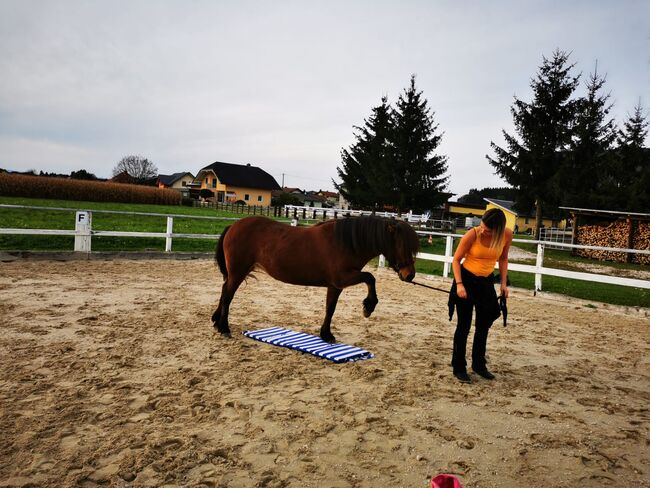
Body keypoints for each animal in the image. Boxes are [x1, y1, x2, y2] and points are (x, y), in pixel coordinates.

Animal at [210, 214, 418, 344]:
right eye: (402, 245)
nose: (410, 275)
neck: (346, 243)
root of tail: (234, 226)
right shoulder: (343, 278)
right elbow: (371, 278)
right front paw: (368, 307)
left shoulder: (335, 285)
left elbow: (330, 308)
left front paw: (326, 335)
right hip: (238, 271)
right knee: (228, 295)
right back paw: (224, 328)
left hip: (236, 272)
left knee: (224, 290)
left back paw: (216, 321)